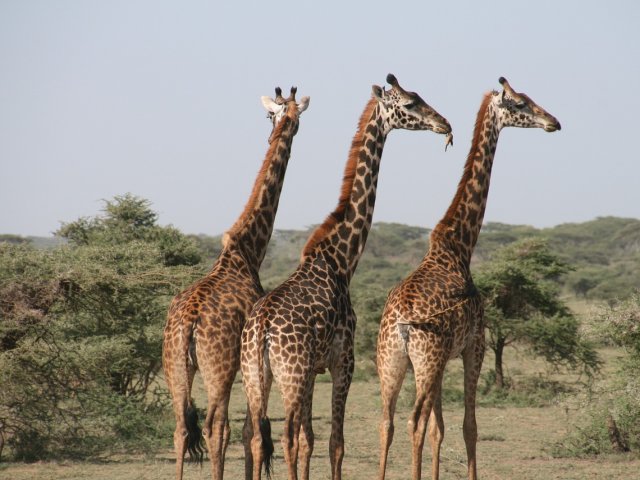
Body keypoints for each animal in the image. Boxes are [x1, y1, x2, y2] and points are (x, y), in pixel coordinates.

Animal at [161, 86, 308, 480]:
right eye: (286, 117)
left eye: (275, 115)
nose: (283, 130)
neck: (247, 251)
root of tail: (188, 322)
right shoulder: (248, 364)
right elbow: (248, 430)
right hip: (220, 368)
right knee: (216, 427)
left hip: (174, 365)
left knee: (180, 428)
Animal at [241, 72, 456, 480]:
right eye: (409, 104)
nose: (445, 124)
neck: (341, 259)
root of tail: (260, 329)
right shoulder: (345, 361)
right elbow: (334, 443)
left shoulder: (315, 369)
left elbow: (310, 440)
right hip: (290, 376)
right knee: (285, 437)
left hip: (257, 377)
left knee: (258, 437)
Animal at [376, 77, 560, 478]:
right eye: (520, 103)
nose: (553, 121)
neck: (460, 246)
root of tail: (400, 325)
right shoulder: (474, 345)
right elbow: (468, 426)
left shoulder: (446, 357)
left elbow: (440, 429)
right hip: (425, 360)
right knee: (414, 422)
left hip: (391, 363)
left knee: (388, 423)